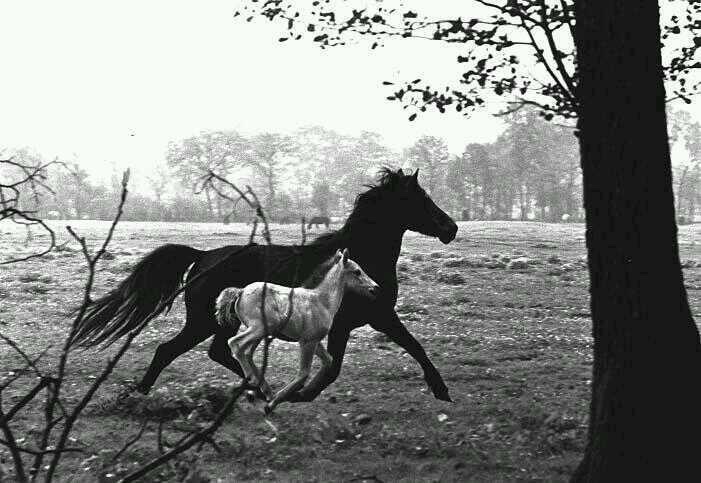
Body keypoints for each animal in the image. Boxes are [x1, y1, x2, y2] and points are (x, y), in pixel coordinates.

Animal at [215, 248, 379, 414]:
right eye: (357, 271)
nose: (375, 288)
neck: (322, 301)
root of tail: (241, 291)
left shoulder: (315, 341)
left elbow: (328, 360)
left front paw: (304, 393)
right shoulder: (307, 342)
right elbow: (303, 373)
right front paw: (273, 403)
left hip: (261, 332)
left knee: (247, 353)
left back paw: (265, 390)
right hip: (258, 328)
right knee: (235, 344)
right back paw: (254, 382)